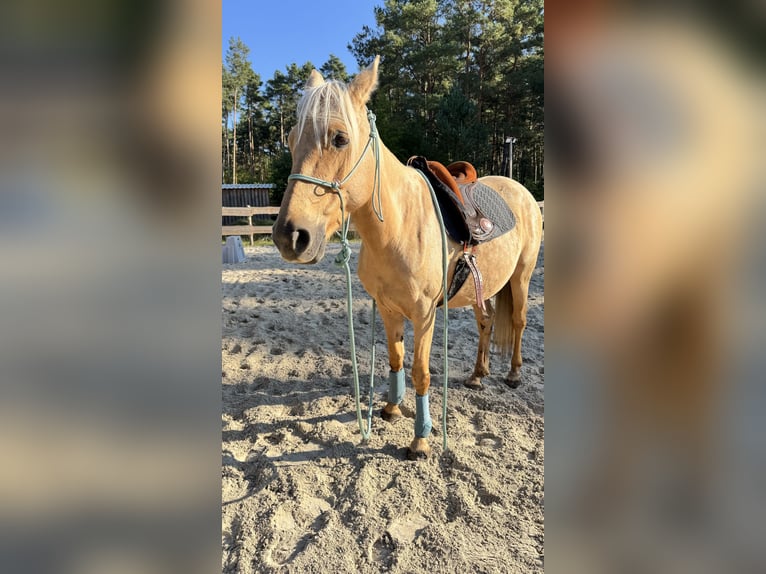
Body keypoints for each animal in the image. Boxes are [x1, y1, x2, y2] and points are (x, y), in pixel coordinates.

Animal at [272, 56, 543, 460]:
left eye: (340, 138)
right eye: (290, 139)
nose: (289, 237)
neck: (398, 228)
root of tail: (522, 191)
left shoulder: (424, 313)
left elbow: (420, 372)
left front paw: (421, 439)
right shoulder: (387, 308)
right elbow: (396, 359)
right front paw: (391, 408)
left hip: (521, 276)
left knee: (520, 321)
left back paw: (513, 374)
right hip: (483, 288)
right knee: (487, 323)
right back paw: (478, 376)